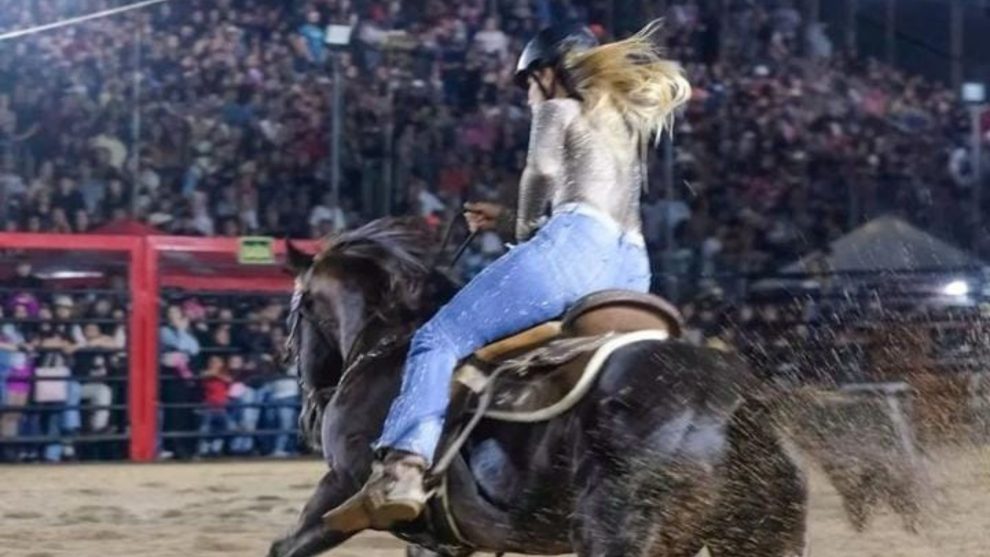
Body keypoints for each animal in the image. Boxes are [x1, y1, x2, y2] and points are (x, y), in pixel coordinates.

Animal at [268, 217, 928, 556]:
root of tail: (736, 399)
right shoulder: (443, 543)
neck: (392, 344)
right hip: (760, 536)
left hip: (617, 533)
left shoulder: (344, 486)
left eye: (295, 311)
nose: (306, 407)